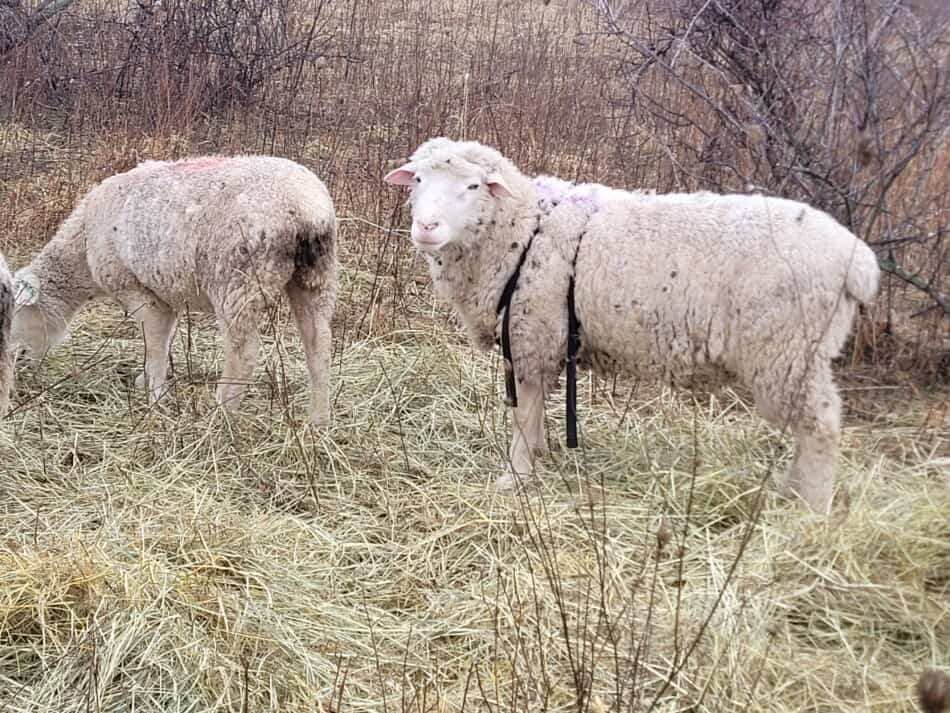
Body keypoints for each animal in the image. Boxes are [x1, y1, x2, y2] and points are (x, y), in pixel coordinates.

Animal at [12, 155, 338, 422]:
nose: (19, 365)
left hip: (239, 280)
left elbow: (154, 342)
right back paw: (318, 422)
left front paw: (156, 398)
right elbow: (164, 338)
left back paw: (219, 417)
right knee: (319, 346)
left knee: (244, 355)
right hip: (316, 276)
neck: (81, 249)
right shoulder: (164, 293)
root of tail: (306, 211)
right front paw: (147, 383)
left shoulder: (134, 287)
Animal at [386, 136, 884, 512]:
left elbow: (524, 413)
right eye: (418, 180)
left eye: (473, 185)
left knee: (820, 426)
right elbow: (536, 410)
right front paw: (542, 455)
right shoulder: (542, 341)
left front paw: (517, 476)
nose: (426, 227)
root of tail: (857, 260)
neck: (525, 228)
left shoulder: (535, 334)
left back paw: (808, 508)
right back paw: (791, 493)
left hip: (787, 348)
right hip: (801, 353)